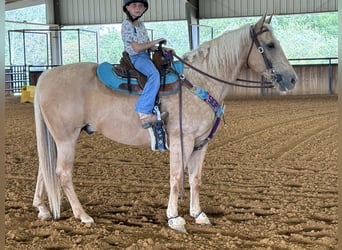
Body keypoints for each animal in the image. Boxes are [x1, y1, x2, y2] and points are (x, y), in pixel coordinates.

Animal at [33, 14, 298, 232]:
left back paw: (43, 209)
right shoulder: (183, 140)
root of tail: (46, 76)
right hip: (67, 137)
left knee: (44, 170)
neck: (199, 81)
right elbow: (176, 178)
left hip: (57, 138)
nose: (292, 79)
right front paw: (174, 218)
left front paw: (198, 214)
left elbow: (195, 179)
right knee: (62, 173)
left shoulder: (201, 143)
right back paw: (83, 215)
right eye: (270, 45)